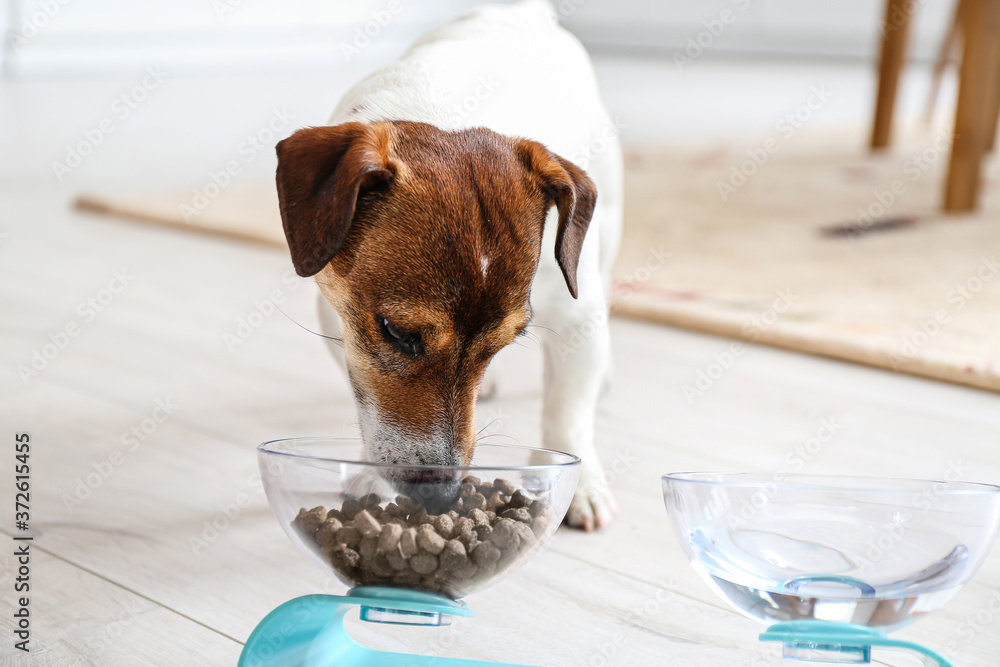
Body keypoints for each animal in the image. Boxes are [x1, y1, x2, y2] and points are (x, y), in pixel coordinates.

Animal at [274, 1, 616, 532]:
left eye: (506, 342)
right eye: (397, 332)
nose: (441, 493)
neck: (447, 108)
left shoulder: (577, 314)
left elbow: (568, 409)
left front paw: (583, 487)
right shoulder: (337, 312)